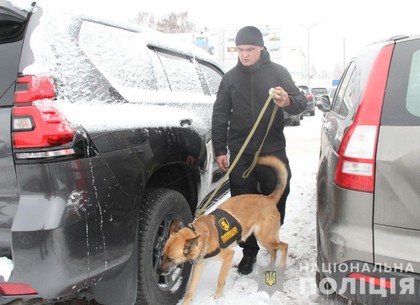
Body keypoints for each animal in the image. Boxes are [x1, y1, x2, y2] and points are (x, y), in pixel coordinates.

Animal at [158, 156, 288, 302]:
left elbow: (220, 278)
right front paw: (186, 301)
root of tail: (269, 198)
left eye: (171, 259)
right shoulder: (199, 265)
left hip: (264, 238)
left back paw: (282, 267)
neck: (202, 234)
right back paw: (271, 267)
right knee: (274, 251)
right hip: (266, 239)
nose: (158, 272)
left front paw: (218, 294)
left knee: (284, 246)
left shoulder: (227, 257)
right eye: (162, 256)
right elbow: (191, 288)